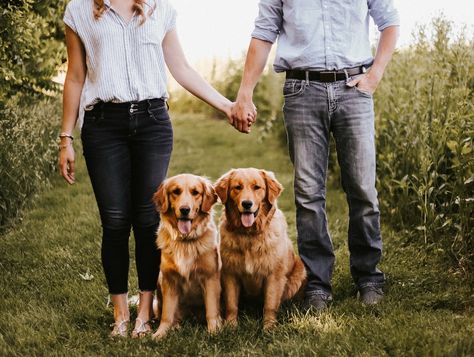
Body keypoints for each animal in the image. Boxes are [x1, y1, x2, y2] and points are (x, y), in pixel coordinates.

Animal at [152, 174, 222, 338]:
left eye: (195, 192)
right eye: (176, 191)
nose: (184, 210)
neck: (185, 241)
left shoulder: (210, 278)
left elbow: (211, 310)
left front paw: (214, 331)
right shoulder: (169, 279)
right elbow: (167, 314)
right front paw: (160, 334)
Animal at [216, 168, 308, 330]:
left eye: (257, 187)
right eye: (237, 187)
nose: (247, 204)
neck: (249, 234)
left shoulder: (274, 276)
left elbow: (270, 304)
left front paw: (268, 328)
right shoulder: (229, 274)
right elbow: (231, 304)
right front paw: (231, 326)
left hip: (299, 273)